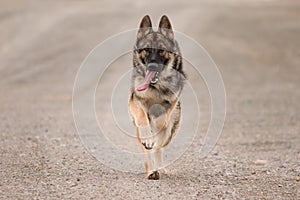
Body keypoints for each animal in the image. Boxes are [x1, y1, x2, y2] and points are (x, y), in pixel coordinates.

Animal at [128, 14, 185, 180]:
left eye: (161, 51)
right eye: (146, 50)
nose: (152, 66)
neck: (155, 87)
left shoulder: (172, 103)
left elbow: (161, 121)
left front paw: (157, 124)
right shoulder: (135, 102)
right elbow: (143, 117)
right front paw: (149, 136)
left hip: (171, 131)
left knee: (159, 147)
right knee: (148, 150)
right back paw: (151, 171)